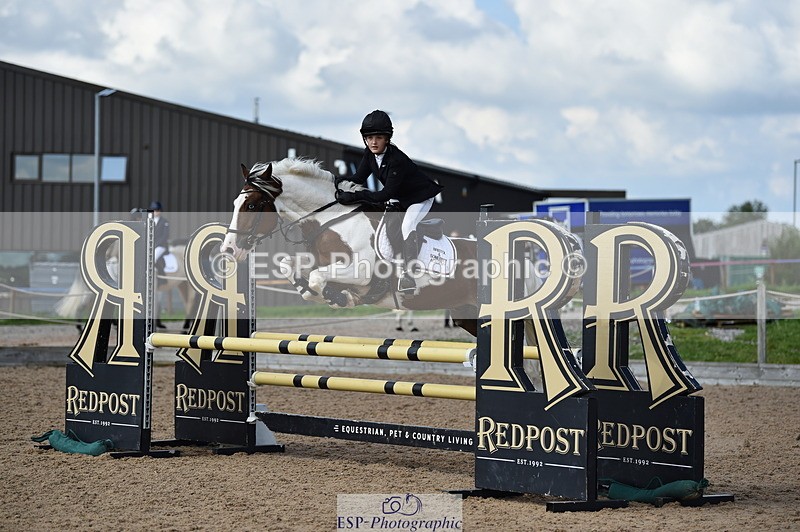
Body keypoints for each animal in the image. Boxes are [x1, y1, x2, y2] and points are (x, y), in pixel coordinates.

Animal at [220, 158, 481, 335]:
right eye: (234, 203)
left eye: (251, 206)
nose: (229, 249)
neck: (333, 219)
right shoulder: (320, 262)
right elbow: (291, 267)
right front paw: (325, 293)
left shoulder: (360, 271)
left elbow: (317, 278)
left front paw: (339, 297)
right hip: (466, 313)